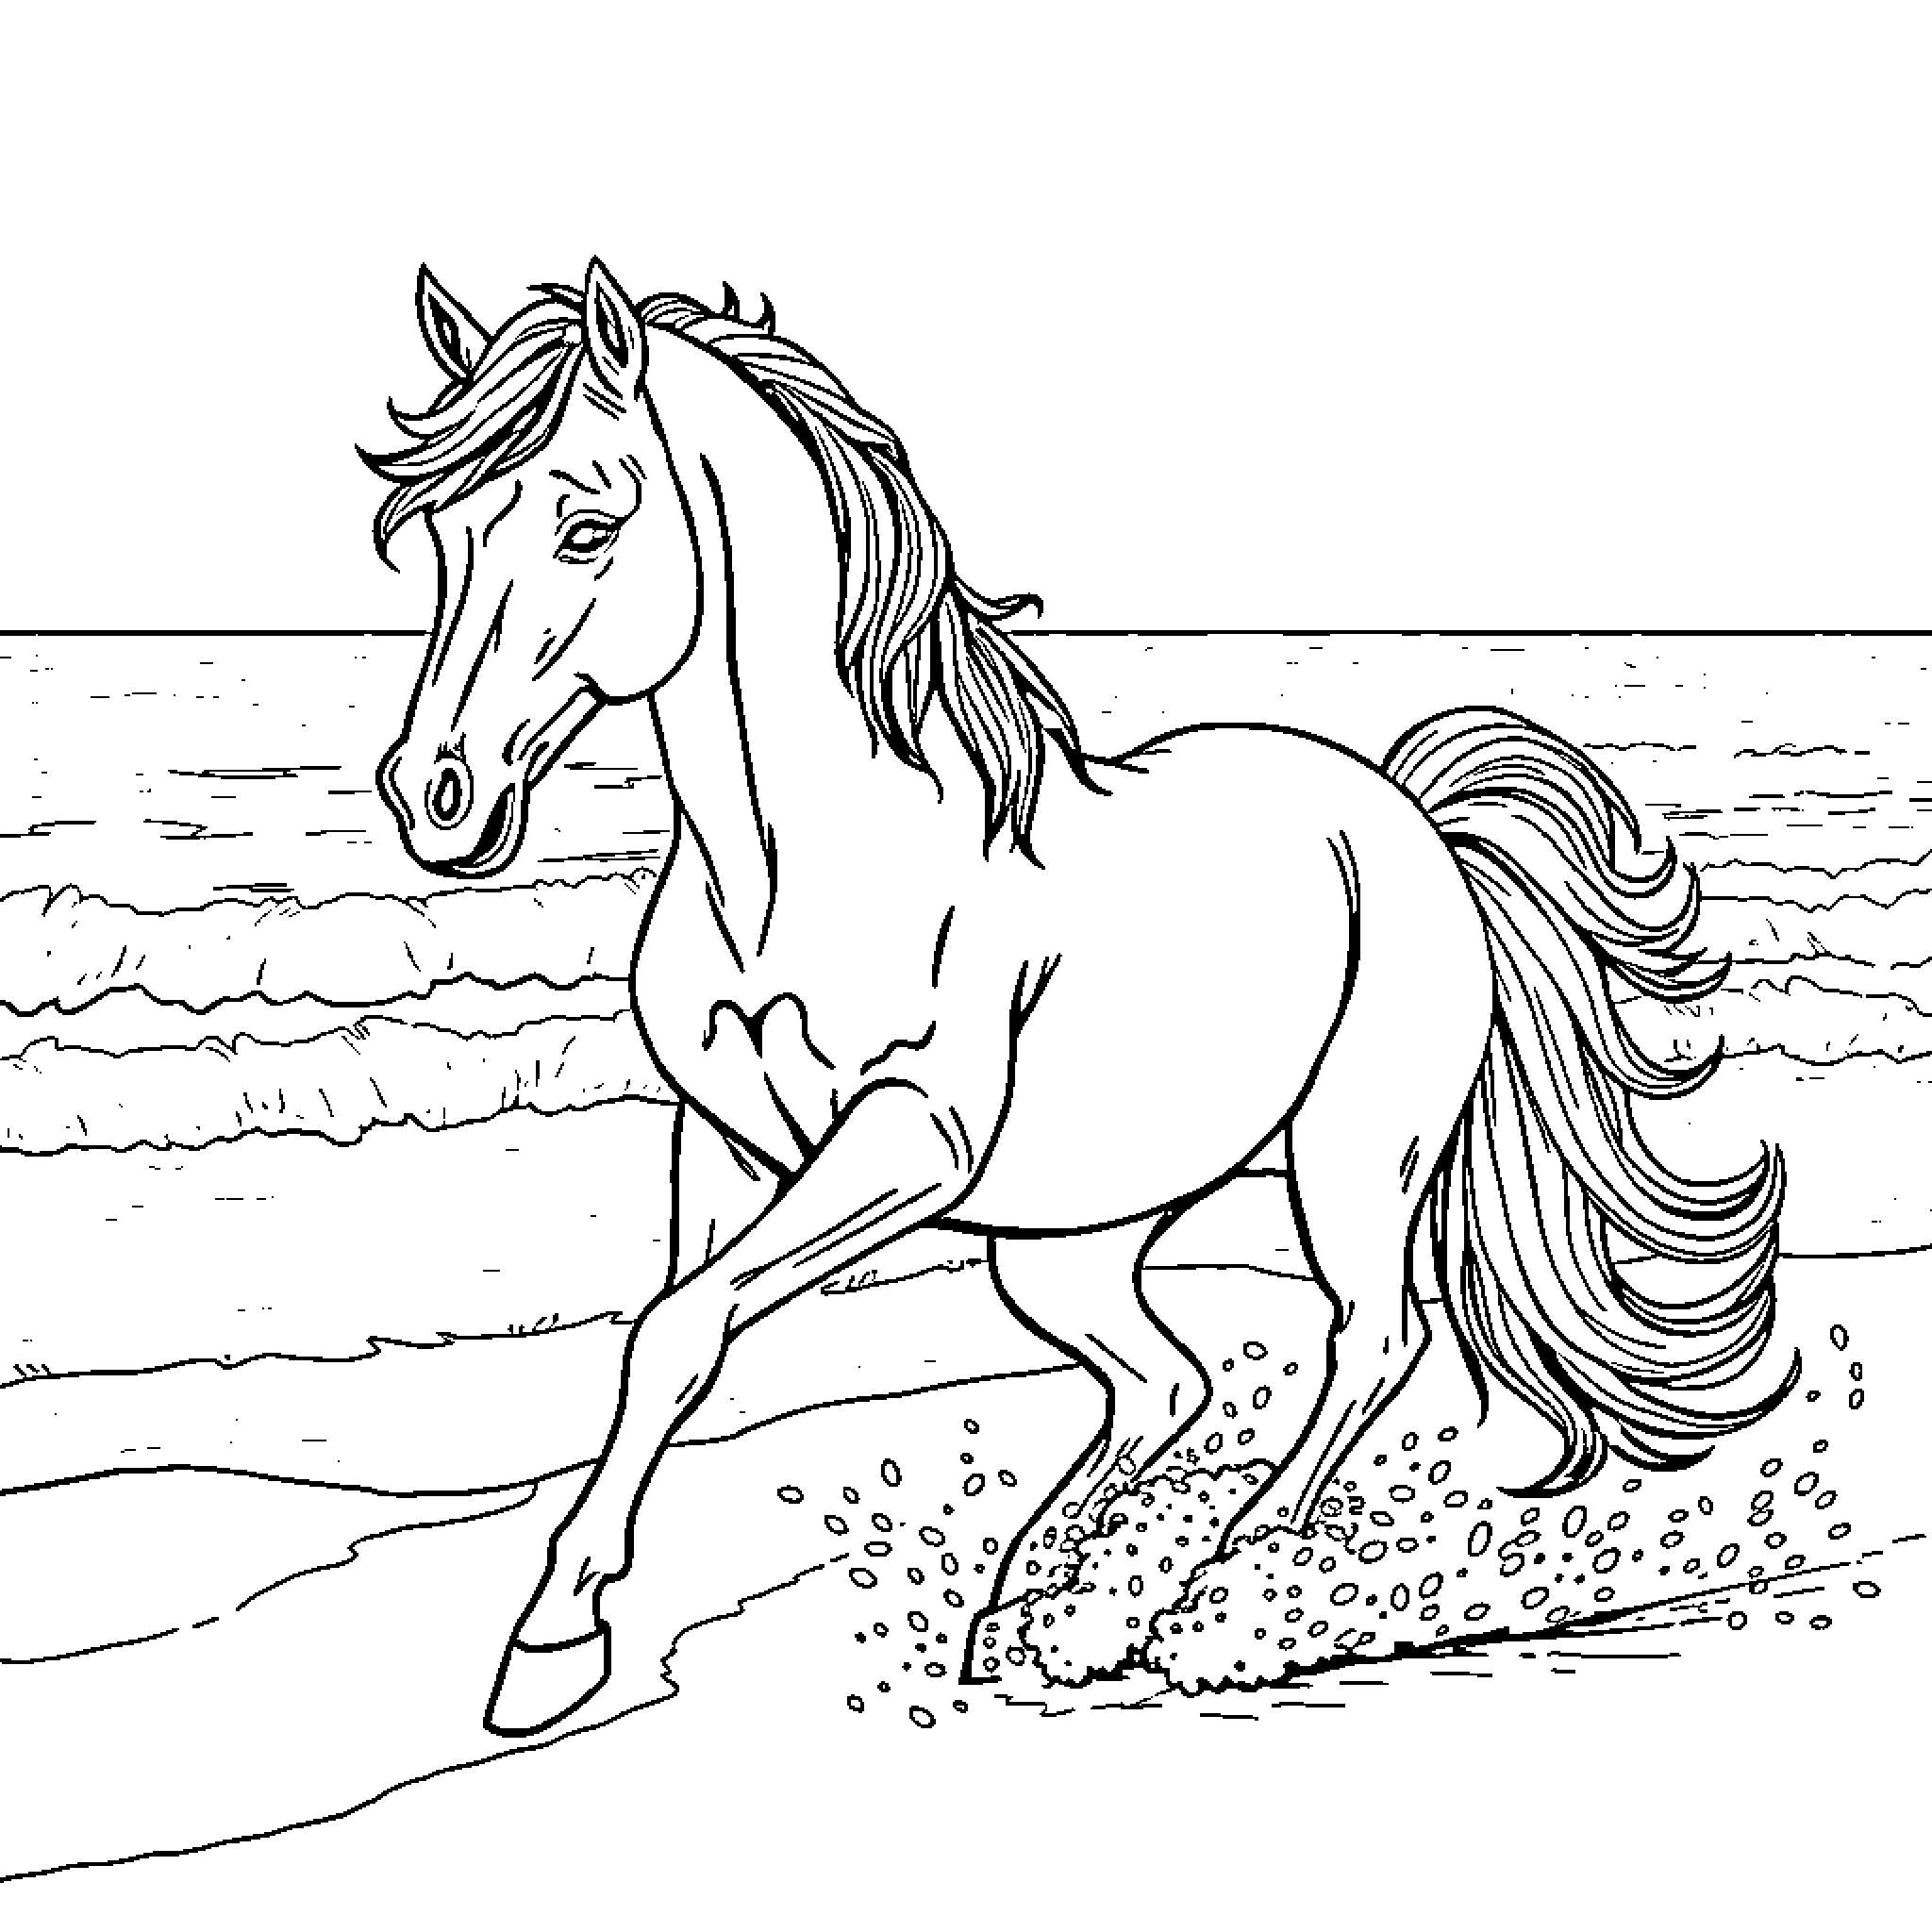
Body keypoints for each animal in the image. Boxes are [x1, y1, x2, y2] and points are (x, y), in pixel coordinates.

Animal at [363, 259, 1790, 1736]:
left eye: (588, 529)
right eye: (436, 538)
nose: (432, 796)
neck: (800, 865)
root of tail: (1410, 822)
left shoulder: (907, 1141)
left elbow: (679, 1325)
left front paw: (547, 1643)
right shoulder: (728, 1144)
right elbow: (672, 1340)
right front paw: (556, 1638)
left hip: (1351, 1160)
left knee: (1370, 1339)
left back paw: (1211, 1594)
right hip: (1067, 1237)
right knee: (1165, 1379)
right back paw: (1028, 1612)